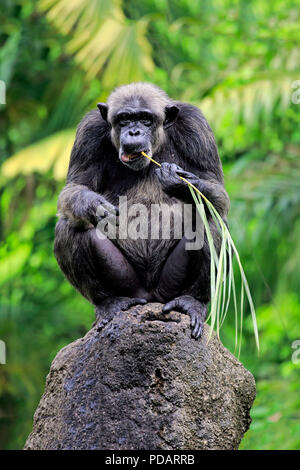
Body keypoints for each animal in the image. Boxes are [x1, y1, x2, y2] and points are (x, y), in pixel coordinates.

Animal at [54, 81, 229, 338]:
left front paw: (177, 181)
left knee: (211, 223)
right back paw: (109, 302)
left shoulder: (196, 127)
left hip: (169, 285)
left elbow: (217, 192)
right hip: (128, 283)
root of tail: (151, 296)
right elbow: (74, 187)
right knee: (70, 226)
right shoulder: (89, 132)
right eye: (124, 119)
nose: (134, 132)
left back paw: (191, 301)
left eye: (145, 119)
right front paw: (93, 205)